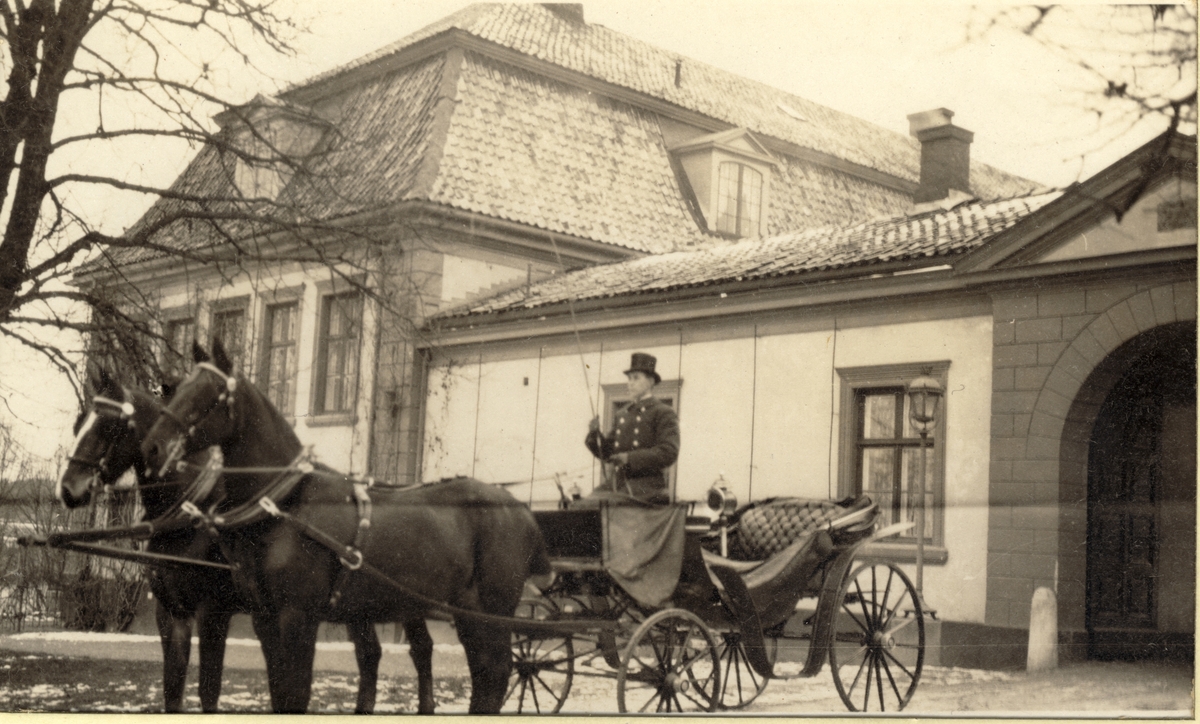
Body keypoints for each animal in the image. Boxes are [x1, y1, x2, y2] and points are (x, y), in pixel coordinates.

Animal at [58, 367, 381, 715]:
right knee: (370, 656)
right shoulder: (171, 613)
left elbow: (208, 691)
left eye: (108, 426)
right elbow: (172, 690)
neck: (189, 513)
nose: (69, 489)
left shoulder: (213, 613)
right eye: (78, 424)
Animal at [141, 340, 552, 715]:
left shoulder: (295, 617)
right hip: (460, 613)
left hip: (490, 612)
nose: (153, 448)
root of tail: (522, 510)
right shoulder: (263, 619)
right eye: (177, 389)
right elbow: (277, 695)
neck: (286, 504)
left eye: (210, 393)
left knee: (495, 672)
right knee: (482, 675)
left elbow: (294, 697)